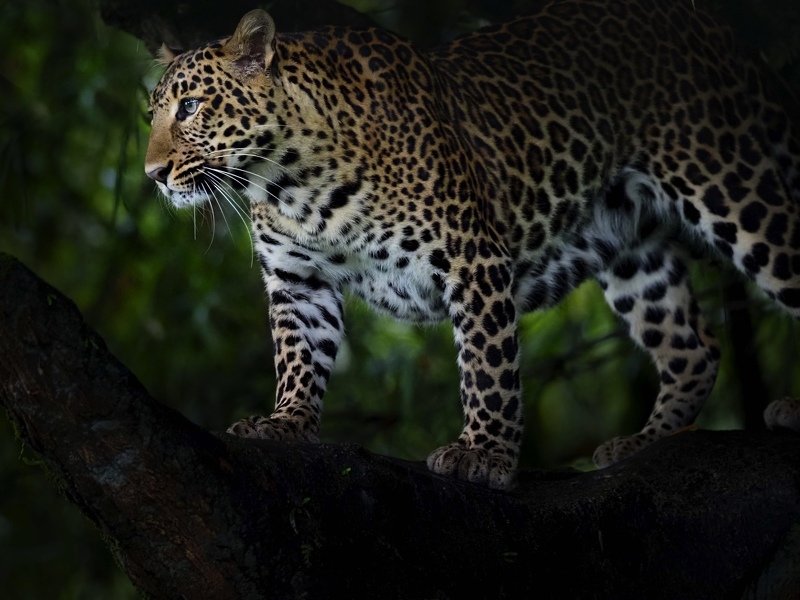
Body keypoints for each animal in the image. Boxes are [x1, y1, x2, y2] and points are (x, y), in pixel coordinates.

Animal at [144, 0, 800, 490]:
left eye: (192, 107)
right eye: (152, 114)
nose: (152, 173)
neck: (292, 185)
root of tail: (708, 22)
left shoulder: (472, 259)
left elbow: (488, 365)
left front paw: (483, 453)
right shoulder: (297, 279)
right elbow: (298, 355)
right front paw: (288, 422)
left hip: (730, 185)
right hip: (631, 246)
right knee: (694, 347)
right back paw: (646, 441)